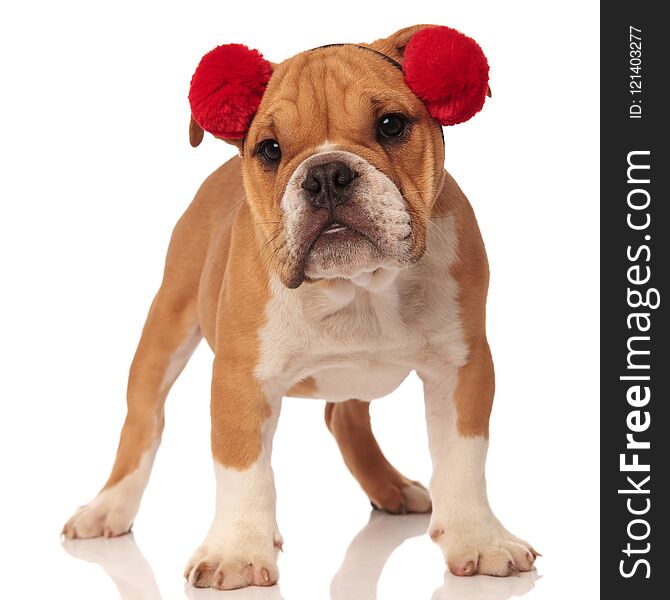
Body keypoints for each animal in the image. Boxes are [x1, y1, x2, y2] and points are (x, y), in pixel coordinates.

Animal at [61, 24, 536, 592]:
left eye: (391, 125)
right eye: (270, 149)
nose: (326, 173)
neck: (357, 286)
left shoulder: (463, 367)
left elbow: (464, 458)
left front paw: (479, 540)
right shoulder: (241, 378)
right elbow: (242, 467)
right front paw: (237, 552)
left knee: (343, 416)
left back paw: (390, 488)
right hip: (166, 323)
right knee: (143, 421)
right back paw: (107, 507)